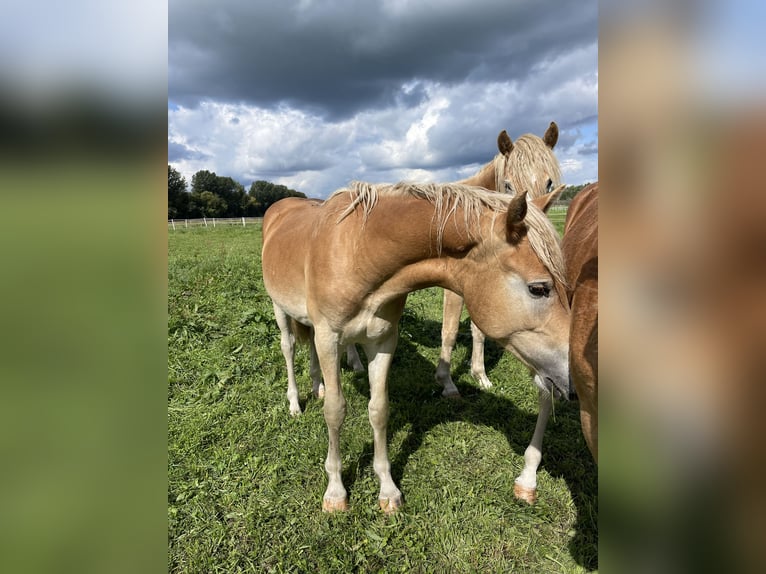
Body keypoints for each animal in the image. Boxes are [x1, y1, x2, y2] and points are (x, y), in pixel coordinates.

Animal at [262, 181, 568, 512]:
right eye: (538, 289)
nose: (572, 374)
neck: (360, 253)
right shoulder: (328, 337)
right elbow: (335, 410)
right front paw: (335, 492)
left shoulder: (382, 341)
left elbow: (379, 410)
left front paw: (387, 489)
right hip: (281, 310)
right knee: (289, 348)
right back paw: (295, 403)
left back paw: (318, 387)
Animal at [436, 122, 568, 398]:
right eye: (507, 184)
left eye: (549, 183)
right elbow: (450, 331)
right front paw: (448, 384)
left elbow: (479, 330)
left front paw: (480, 375)